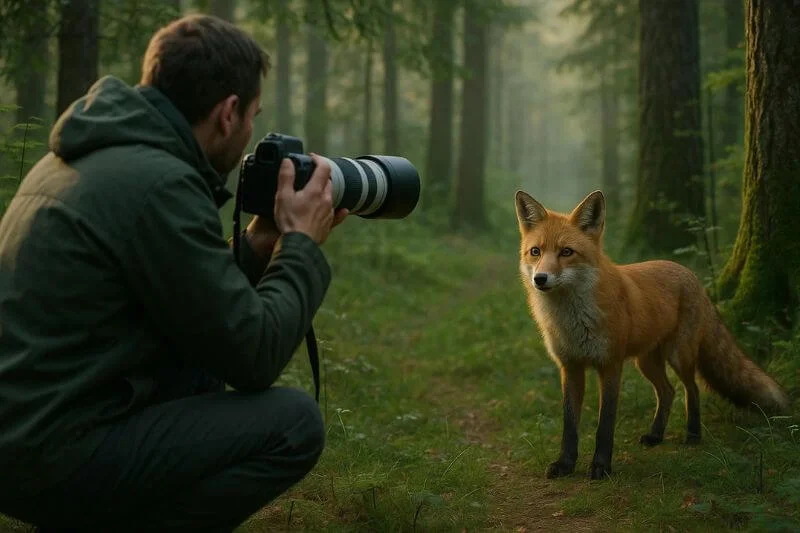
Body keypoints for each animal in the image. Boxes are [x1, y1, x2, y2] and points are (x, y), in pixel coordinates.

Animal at [514, 189, 791, 481]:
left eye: (567, 252)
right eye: (535, 252)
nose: (540, 279)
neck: (573, 321)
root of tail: (691, 275)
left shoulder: (610, 365)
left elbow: (605, 423)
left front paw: (601, 466)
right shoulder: (570, 367)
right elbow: (569, 424)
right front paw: (565, 464)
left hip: (679, 355)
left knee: (691, 389)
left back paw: (693, 434)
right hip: (645, 362)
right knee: (668, 391)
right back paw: (656, 435)